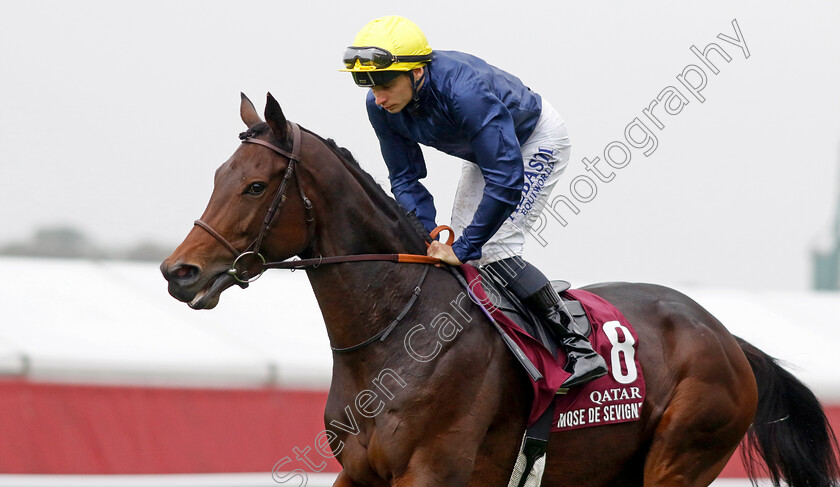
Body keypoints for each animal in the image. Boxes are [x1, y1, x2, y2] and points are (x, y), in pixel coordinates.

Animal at [161, 93, 836, 486]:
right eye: (219, 176)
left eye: (255, 186)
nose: (178, 272)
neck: (397, 334)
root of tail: (728, 338)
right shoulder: (357, 473)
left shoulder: (432, 473)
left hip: (682, 457)